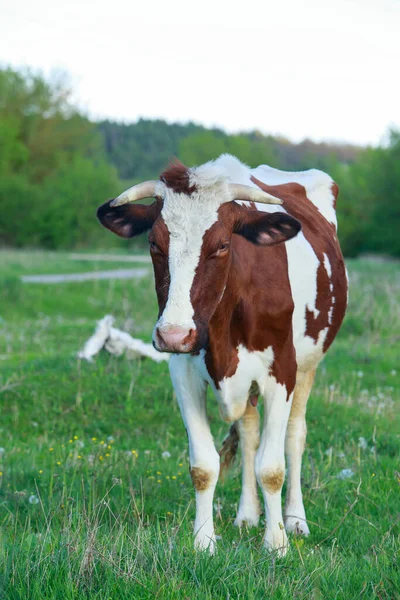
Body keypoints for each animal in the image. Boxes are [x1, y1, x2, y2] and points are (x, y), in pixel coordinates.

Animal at [97, 152, 346, 556]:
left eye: (222, 245)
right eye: (154, 243)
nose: (173, 333)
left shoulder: (282, 371)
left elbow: (272, 468)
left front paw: (276, 543)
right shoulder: (183, 371)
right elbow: (204, 466)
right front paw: (203, 541)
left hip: (309, 365)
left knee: (295, 436)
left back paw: (295, 520)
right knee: (249, 434)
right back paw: (246, 515)